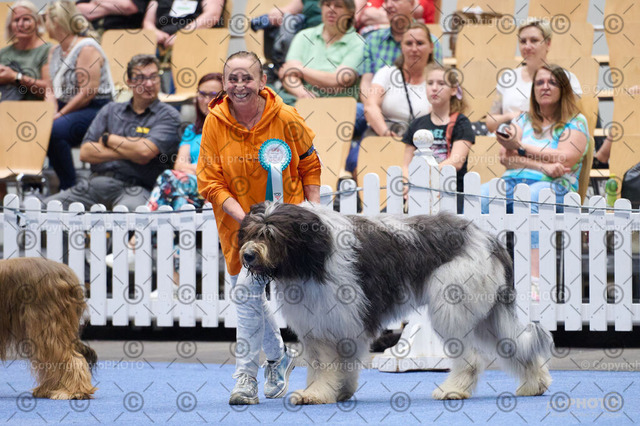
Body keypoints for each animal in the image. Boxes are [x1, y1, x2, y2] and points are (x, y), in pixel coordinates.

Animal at [238, 202, 553, 405]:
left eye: (270, 235)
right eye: (251, 233)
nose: (248, 255)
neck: (313, 258)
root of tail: (490, 240)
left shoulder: (335, 322)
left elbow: (327, 366)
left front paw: (315, 394)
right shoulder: (324, 326)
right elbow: (339, 364)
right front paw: (339, 391)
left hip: (452, 307)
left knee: (472, 358)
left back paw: (453, 390)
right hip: (488, 314)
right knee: (513, 345)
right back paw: (534, 385)